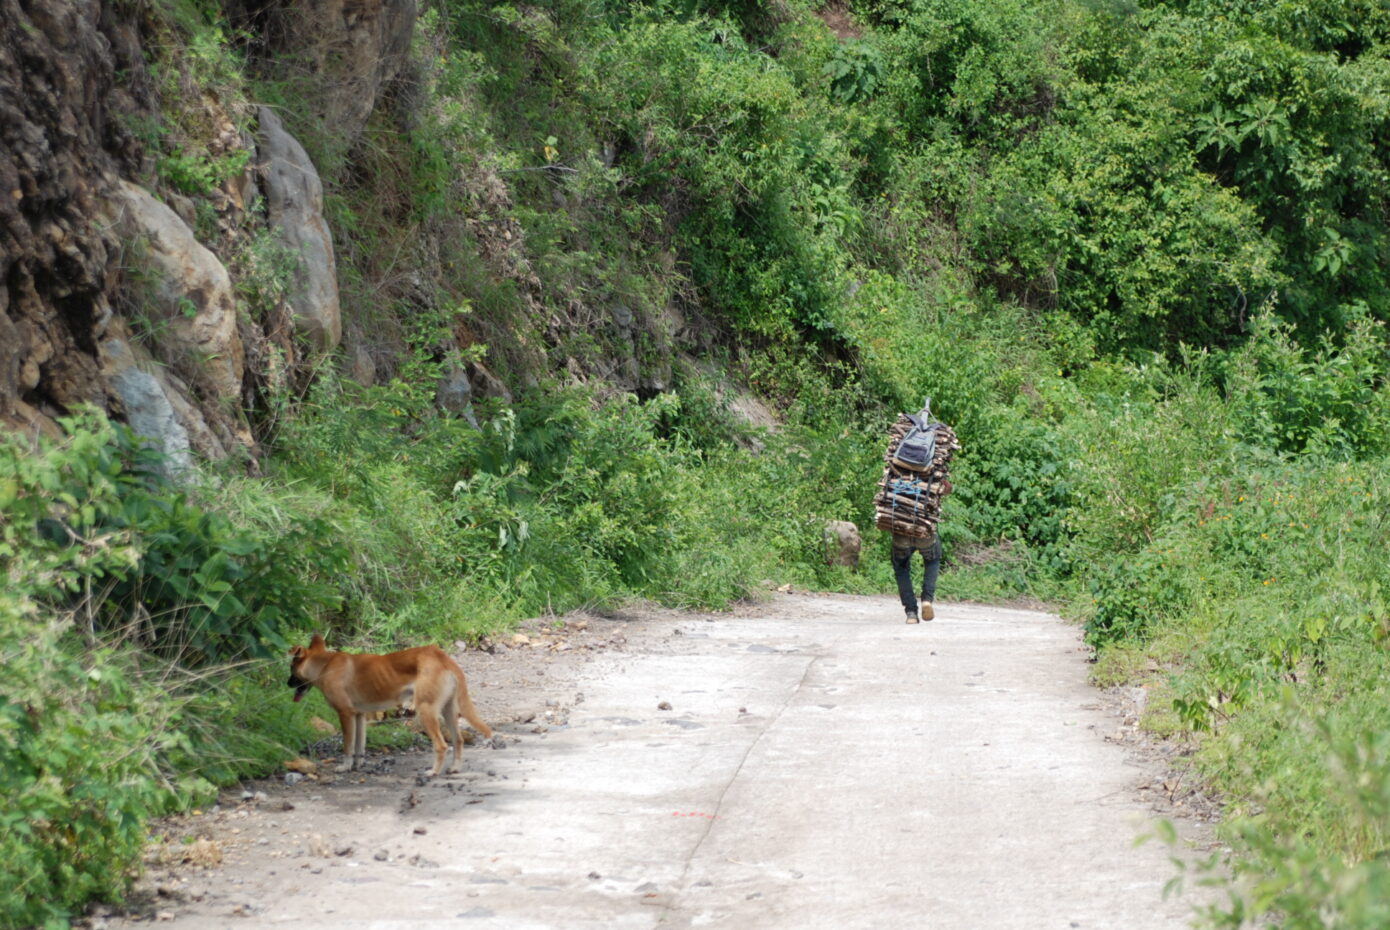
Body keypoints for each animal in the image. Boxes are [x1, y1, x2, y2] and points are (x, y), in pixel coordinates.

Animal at [287, 631, 494, 778]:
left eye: (291, 668)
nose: (287, 684)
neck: (325, 666)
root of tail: (443, 657)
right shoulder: (359, 715)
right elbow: (359, 746)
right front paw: (357, 765)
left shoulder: (345, 714)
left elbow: (347, 746)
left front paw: (345, 767)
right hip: (448, 710)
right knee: (458, 740)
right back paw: (455, 768)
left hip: (426, 711)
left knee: (442, 745)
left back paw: (433, 772)